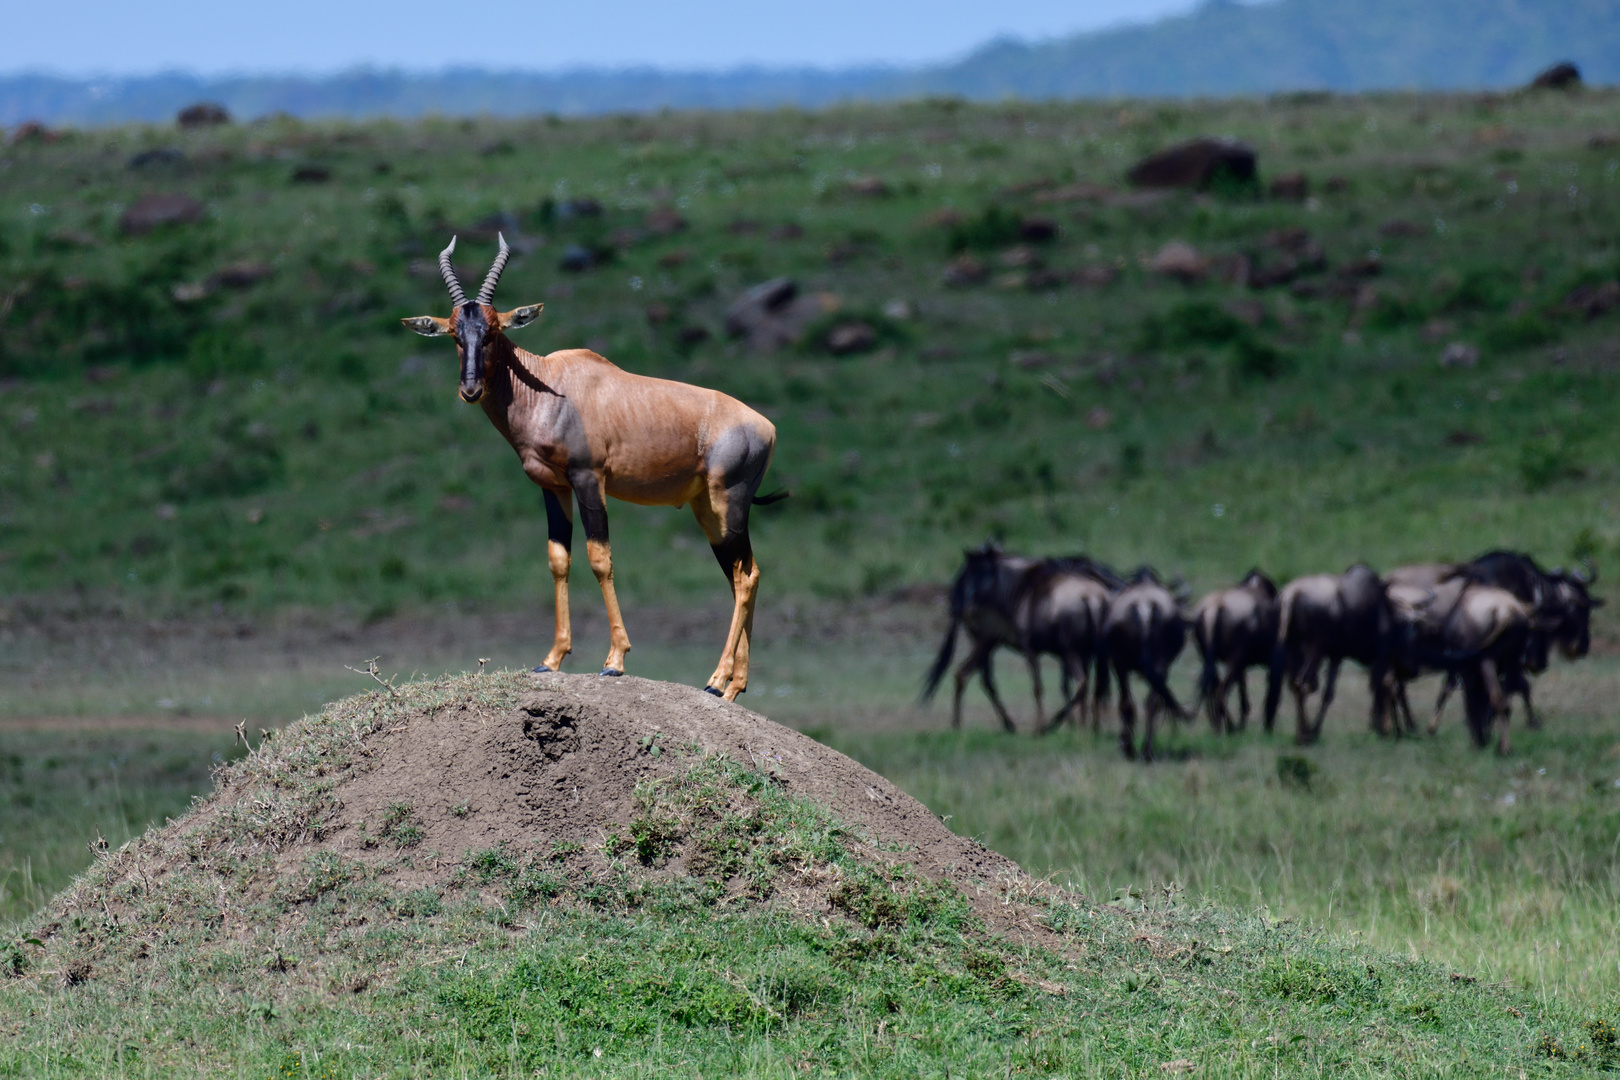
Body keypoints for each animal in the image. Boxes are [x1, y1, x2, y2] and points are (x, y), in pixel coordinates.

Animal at [405, 234, 784, 702]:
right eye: (455, 335)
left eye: (493, 331)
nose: (470, 389)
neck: (549, 384)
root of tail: (765, 426)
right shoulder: (552, 487)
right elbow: (558, 559)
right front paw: (551, 659)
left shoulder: (589, 480)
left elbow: (599, 558)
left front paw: (615, 661)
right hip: (708, 512)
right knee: (743, 574)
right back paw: (734, 687)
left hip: (728, 502)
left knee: (745, 577)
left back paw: (715, 682)